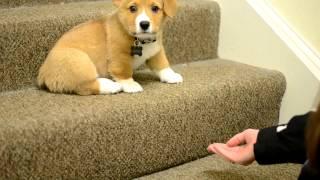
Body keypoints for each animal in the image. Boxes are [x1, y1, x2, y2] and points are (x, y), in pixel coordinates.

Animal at [37, 0, 182, 95]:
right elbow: (124, 72)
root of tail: (42, 73)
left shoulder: (156, 50)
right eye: (132, 8)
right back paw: (111, 85)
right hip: (79, 60)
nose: (144, 24)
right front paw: (130, 85)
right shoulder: (119, 56)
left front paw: (171, 76)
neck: (140, 40)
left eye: (155, 8)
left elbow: (162, 64)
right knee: (83, 87)